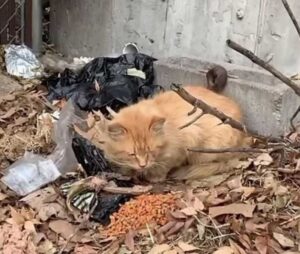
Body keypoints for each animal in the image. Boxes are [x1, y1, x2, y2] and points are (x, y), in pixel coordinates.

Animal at [95, 77, 250, 183]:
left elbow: (165, 165)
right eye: (132, 154)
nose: (143, 165)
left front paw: (155, 176)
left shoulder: (185, 143)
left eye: (150, 151)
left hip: (208, 152)